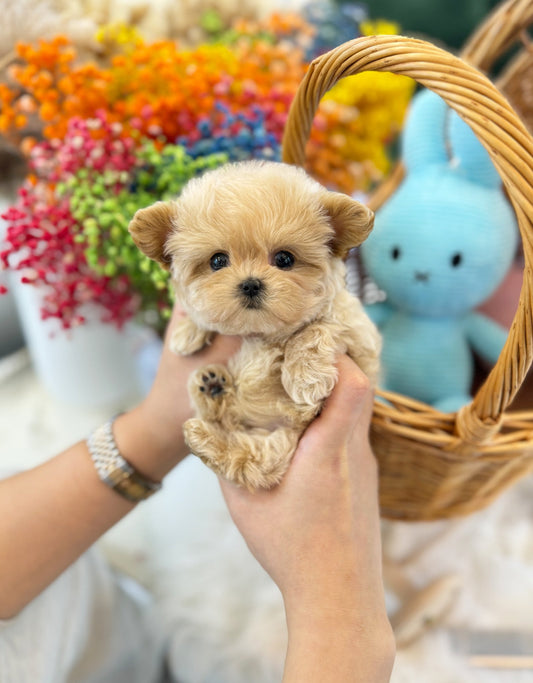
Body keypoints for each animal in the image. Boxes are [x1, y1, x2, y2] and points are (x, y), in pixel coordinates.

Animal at [128, 160, 378, 492]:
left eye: (284, 259)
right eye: (217, 261)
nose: (250, 284)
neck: (260, 333)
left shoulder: (358, 333)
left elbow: (316, 327)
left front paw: (305, 376)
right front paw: (188, 332)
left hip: (285, 443)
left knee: (251, 461)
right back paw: (209, 392)